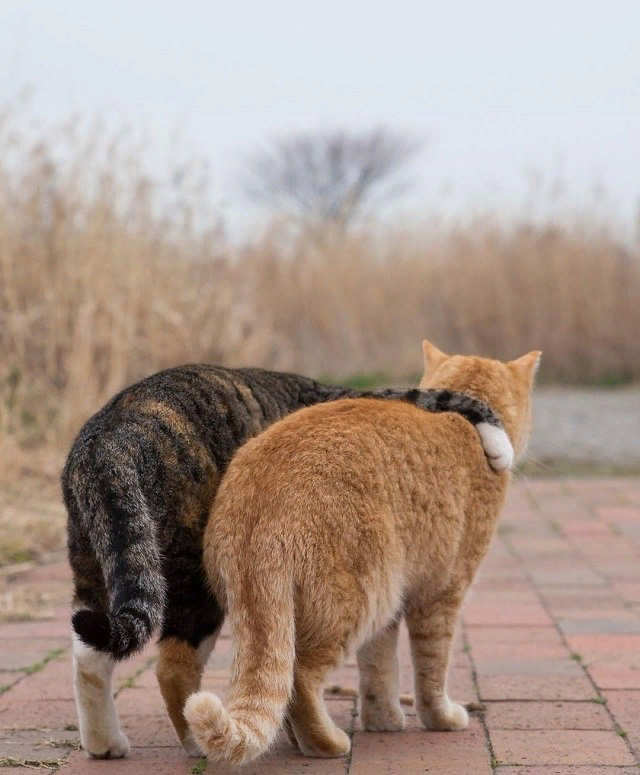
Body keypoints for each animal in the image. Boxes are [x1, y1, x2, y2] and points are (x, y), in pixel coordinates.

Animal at [63, 362, 516, 756]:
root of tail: (108, 439)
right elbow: (449, 398)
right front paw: (499, 446)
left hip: (103, 567)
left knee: (89, 656)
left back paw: (105, 744)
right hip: (192, 583)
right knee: (176, 668)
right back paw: (200, 744)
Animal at [184, 344, 540, 764]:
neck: (465, 422)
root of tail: (261, 501)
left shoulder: (391, 613)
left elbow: (378, 669)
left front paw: (382, 721)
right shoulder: (441, 596)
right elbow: (432, 669)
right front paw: (441, 718)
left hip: (330, 606)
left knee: (280, 682)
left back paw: (298, 740)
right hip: (357, 601)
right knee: (299, 679)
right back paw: (325, 744)